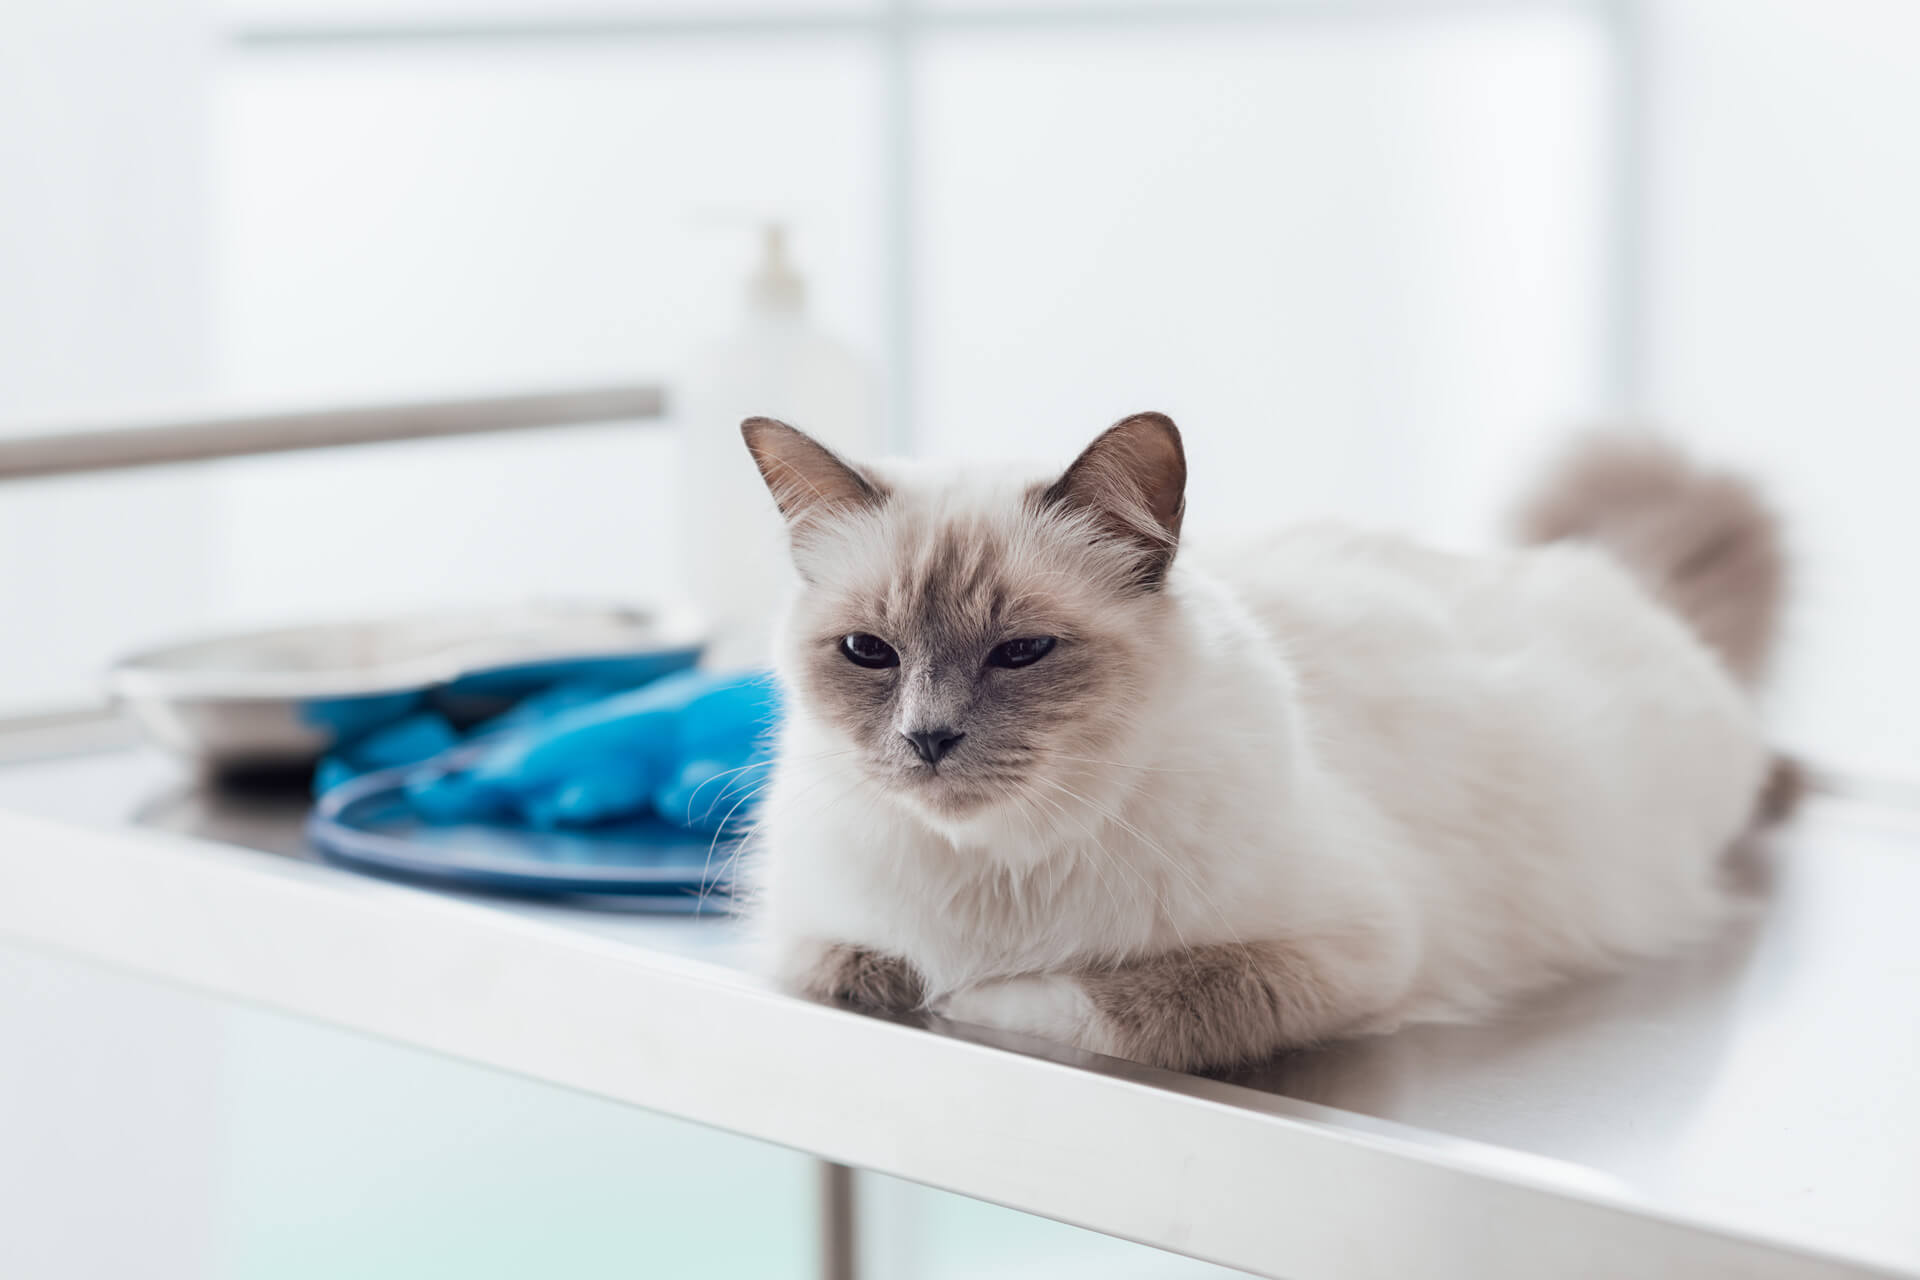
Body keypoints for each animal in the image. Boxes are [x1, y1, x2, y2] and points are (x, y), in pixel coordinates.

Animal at [733, 412, 1781, 1074]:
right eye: (869, 653)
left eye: (1021, 653)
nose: (927, 739)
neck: (999, 868)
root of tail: (1609, 572)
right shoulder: (807, 941)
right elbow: (876, 973)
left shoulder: (1348, 953)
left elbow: (1106, 1005)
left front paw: (971, 1001)